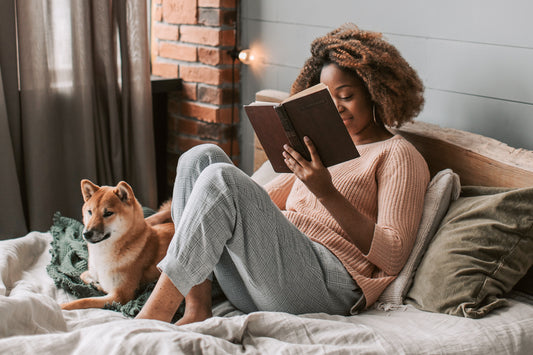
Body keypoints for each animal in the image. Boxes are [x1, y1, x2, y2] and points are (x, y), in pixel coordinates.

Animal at [60, 179, 174, 310]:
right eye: (90, 212)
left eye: (108, 213)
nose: (86, 233)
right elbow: (83, 276)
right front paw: (96, 284)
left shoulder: (120, 296)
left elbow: (84, 301)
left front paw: (62, 306)